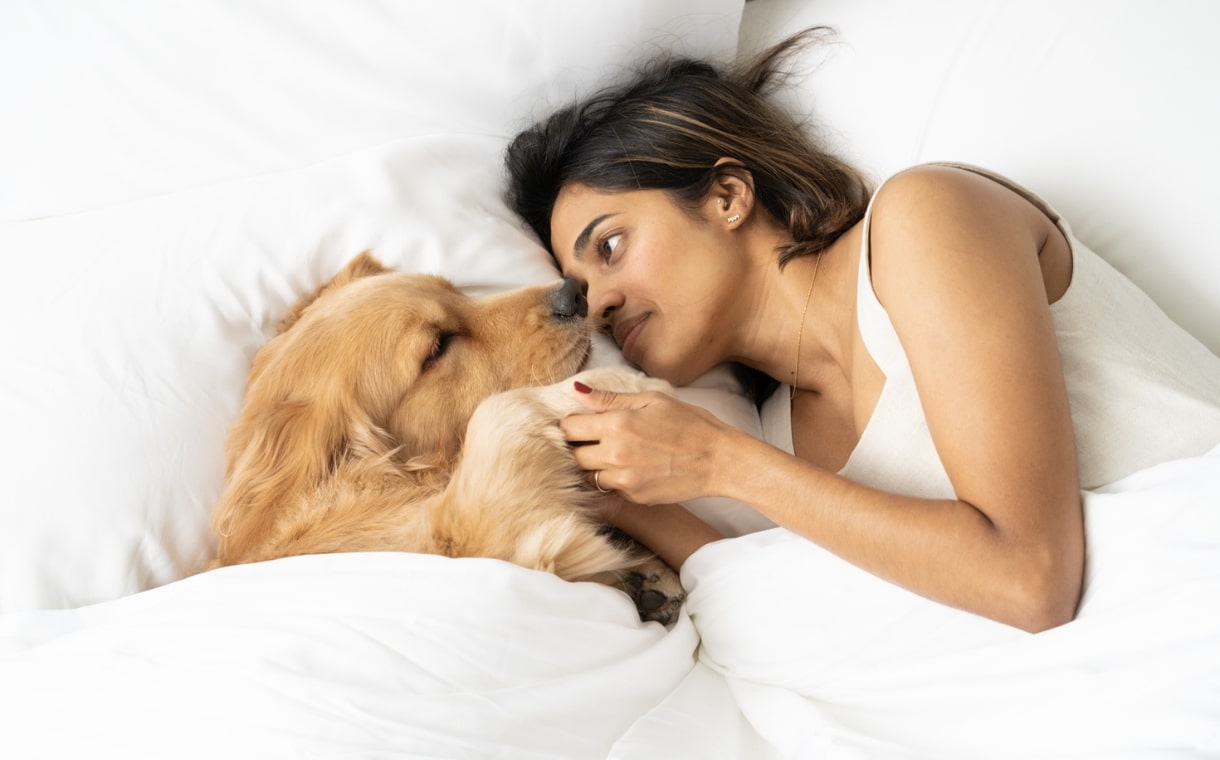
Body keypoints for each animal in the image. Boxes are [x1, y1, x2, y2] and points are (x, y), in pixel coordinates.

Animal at [211, 253, 688, 624]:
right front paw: (623, 382)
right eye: (437, 348)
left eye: (457, 292)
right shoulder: (472, 533)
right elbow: (497, 410)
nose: (575, 291)